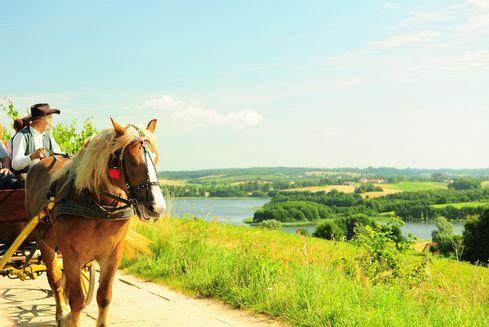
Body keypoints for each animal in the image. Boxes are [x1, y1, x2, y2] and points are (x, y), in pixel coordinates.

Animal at [25, 119, 166, 326]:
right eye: (133, 162)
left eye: (155, 159)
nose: (157, 207)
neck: (98, 207)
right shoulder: (71, 256)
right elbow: (77, 301)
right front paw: (69, 317)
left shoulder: (112, 256)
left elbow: (104, 297)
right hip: (44, 243)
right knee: (55, 280)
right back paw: (61, 312)